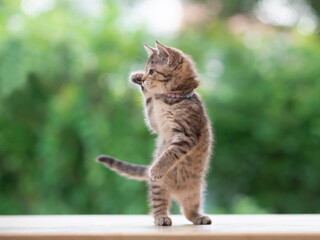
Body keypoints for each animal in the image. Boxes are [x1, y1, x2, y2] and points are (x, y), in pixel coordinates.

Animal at [96, 40, 214, 226]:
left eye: (151, 71)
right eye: (146, 70)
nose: (144, 77)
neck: (171, 99)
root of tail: (177, 192)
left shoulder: (186, 136)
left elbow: (170, 153)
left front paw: (156, 169)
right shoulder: (155, 123)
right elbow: (148, 101)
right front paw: (137, 78)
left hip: (195, 192)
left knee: (188, 210)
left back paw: (198, 217)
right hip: (160, 187)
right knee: (161, 204)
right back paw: (162, 217)